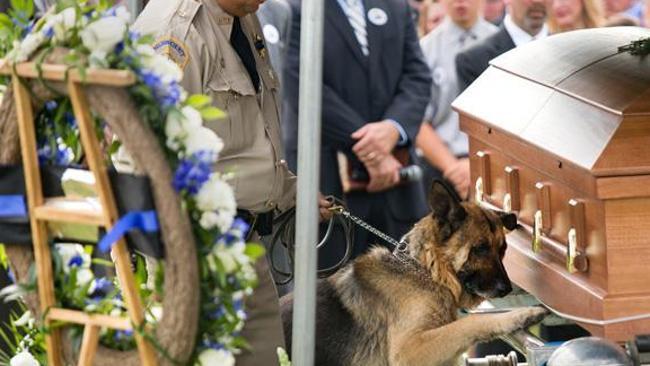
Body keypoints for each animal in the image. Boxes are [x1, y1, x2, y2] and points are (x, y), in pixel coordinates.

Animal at [280, 183, 548, 366]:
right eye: (480, 248)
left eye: (502, 250)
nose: (507, 289)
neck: (426, 271)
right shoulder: (410, 350)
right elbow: (471, 322)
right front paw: (522, 314)